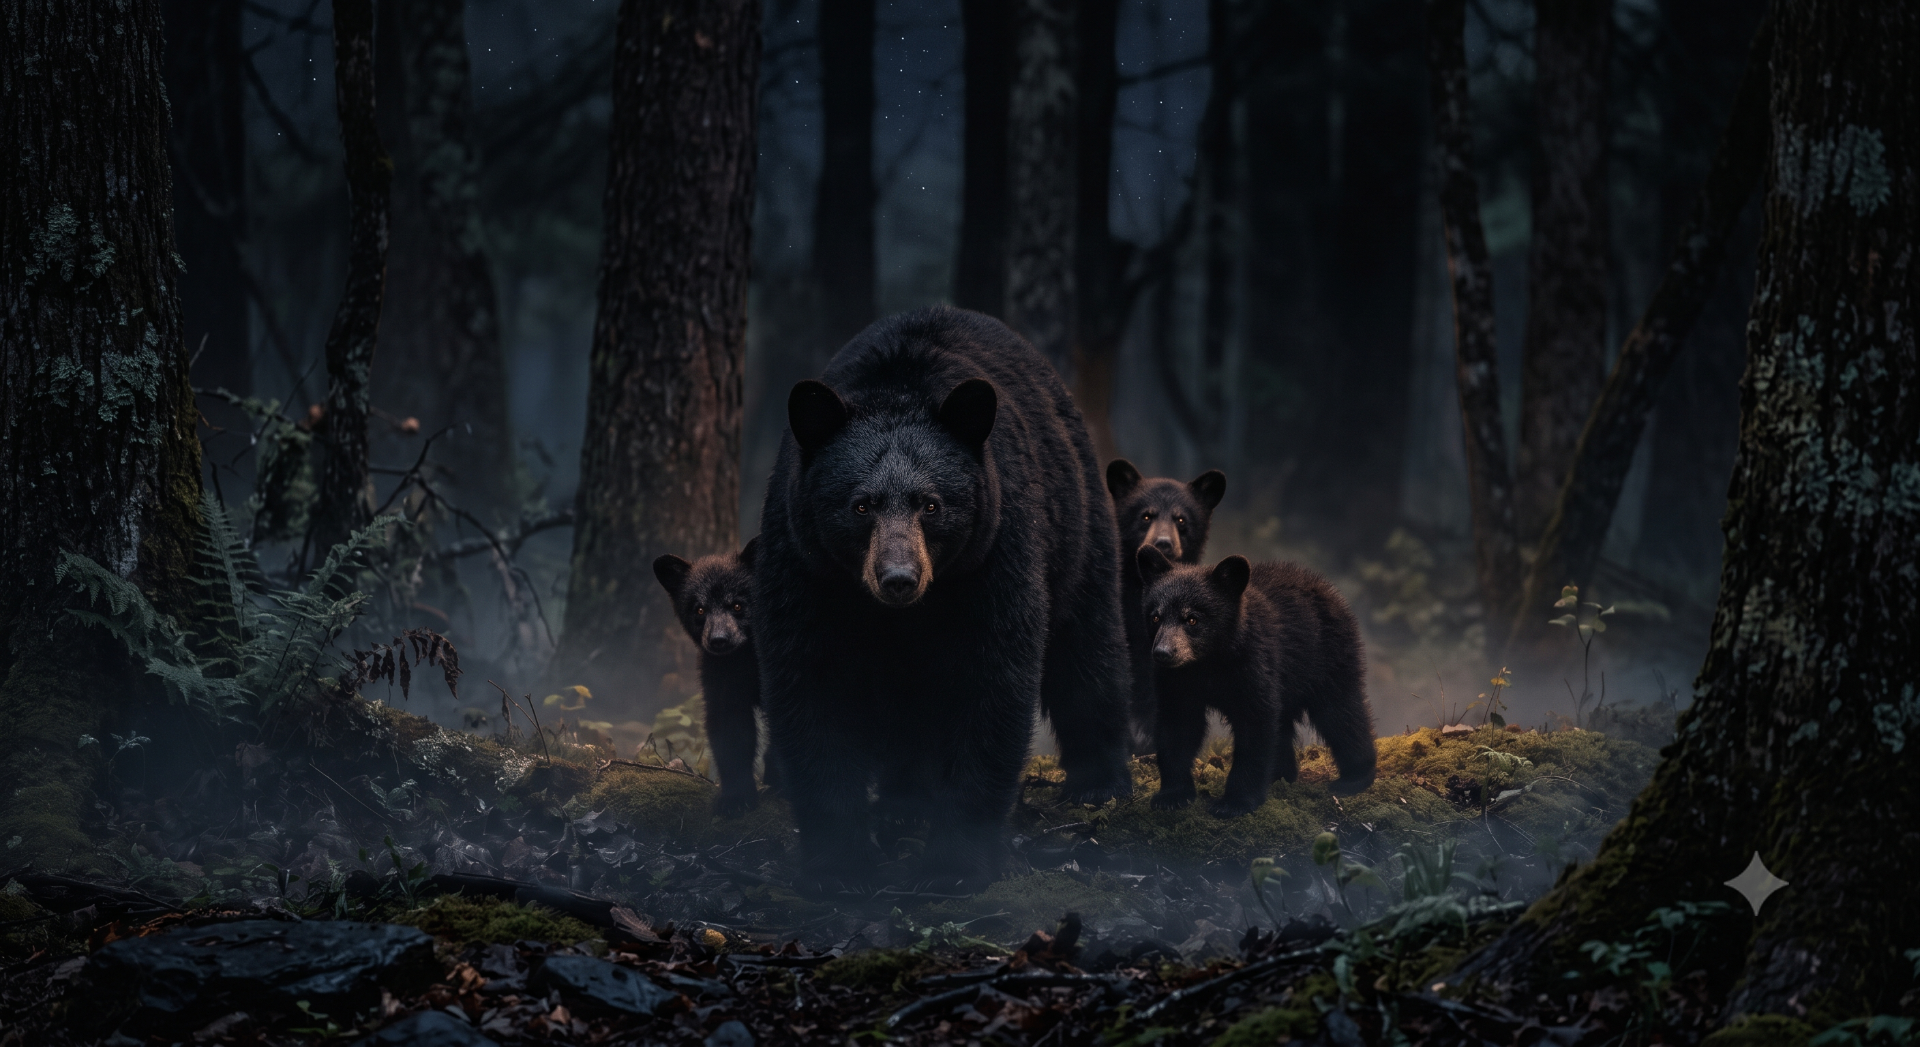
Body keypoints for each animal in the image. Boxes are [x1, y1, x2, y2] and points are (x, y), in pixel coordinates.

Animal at [653, 539, 770, 817]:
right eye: (700, 609)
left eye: (737, 605)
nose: (718, 640)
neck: (748, 661)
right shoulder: (723, 687)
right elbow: (732, 739)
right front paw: (736, 798)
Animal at [755, 306, 1134, 893]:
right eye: (861, 505)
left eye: (930, 504)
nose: (898, 578)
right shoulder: (805, 564)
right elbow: (812, 687)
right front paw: (839, 863)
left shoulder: (994, 555)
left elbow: (991, 683)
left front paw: (954, 864)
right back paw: (902, 804)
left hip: (1078, 522)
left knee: (1087, 644)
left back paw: (1101, 779)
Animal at [1136, 548, 1376, 816]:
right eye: (1155, 617)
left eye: (1192, 619)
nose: (1163, 653)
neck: (1209, 662)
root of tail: (1327, 587)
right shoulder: (1177, 680)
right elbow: (1177, 726)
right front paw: (1172, 795)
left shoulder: (1253, 663)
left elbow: (1255, 725)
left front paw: (1234, 802)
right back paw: (1282, 774)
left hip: (1327, 658)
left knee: (1341, 713)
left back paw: (1354, 777)